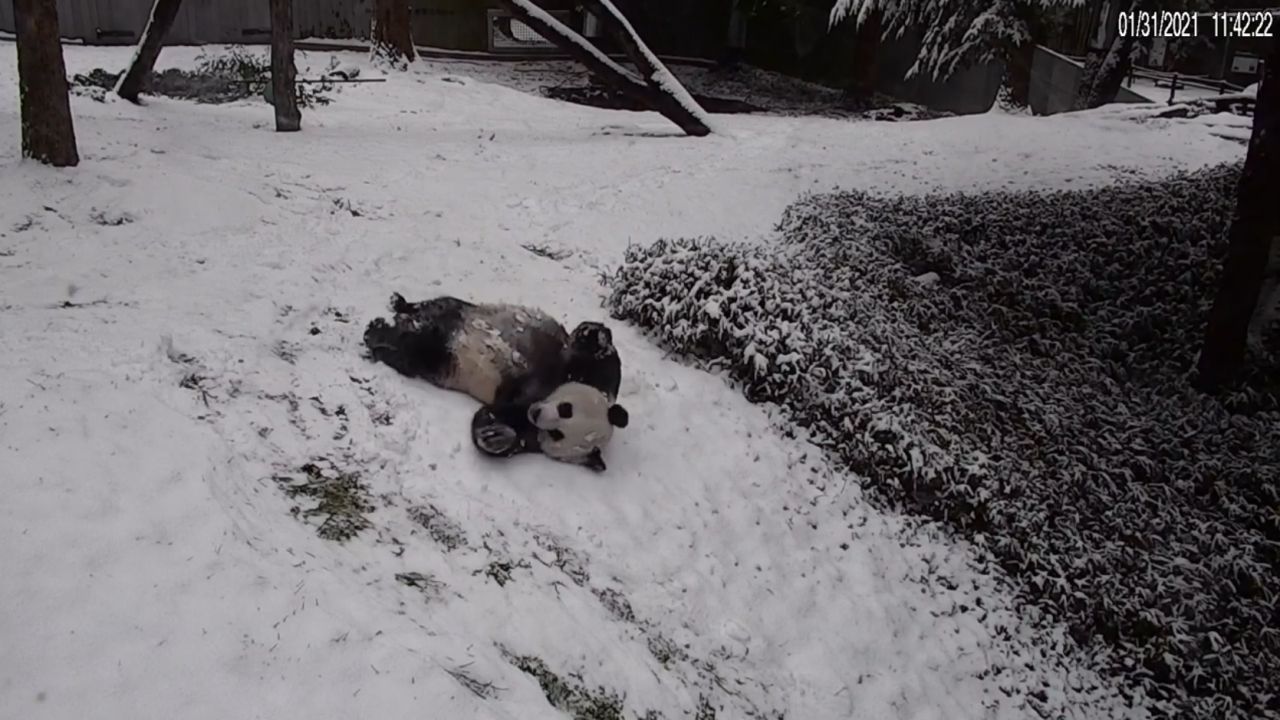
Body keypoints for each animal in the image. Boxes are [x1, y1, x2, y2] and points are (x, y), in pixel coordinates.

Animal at [363, 293, 627, 471]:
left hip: (440, 362)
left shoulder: (527, 425)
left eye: (556, 434)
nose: (537, 414)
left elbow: (493, 418)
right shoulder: (586, 373)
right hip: (459, 311)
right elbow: (601, 356)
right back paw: (396, 308)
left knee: (414, 354)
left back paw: (380, 336)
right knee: (436, 305)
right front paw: (594, 336)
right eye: (566, 409)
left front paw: (496, 437)